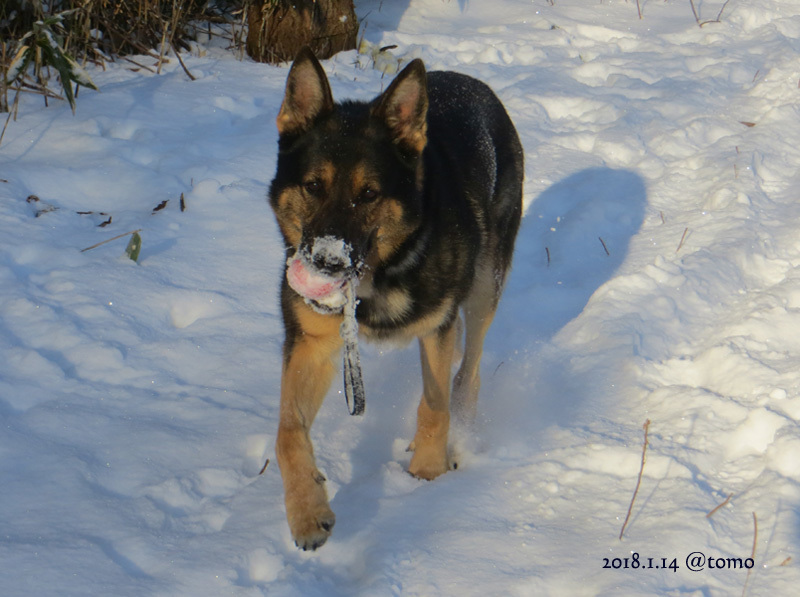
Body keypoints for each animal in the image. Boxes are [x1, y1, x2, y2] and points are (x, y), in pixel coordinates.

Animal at [268, 49, 524, 548]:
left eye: (368, 194)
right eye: (313, 185)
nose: (326, 263)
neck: (378, 276)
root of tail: (472, 82)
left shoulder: (437, 327)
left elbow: (434, 406)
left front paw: (426, 475)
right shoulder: (312, 344)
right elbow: (288, 433)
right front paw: (307, 512)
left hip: (485, 287)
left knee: (469, 369)